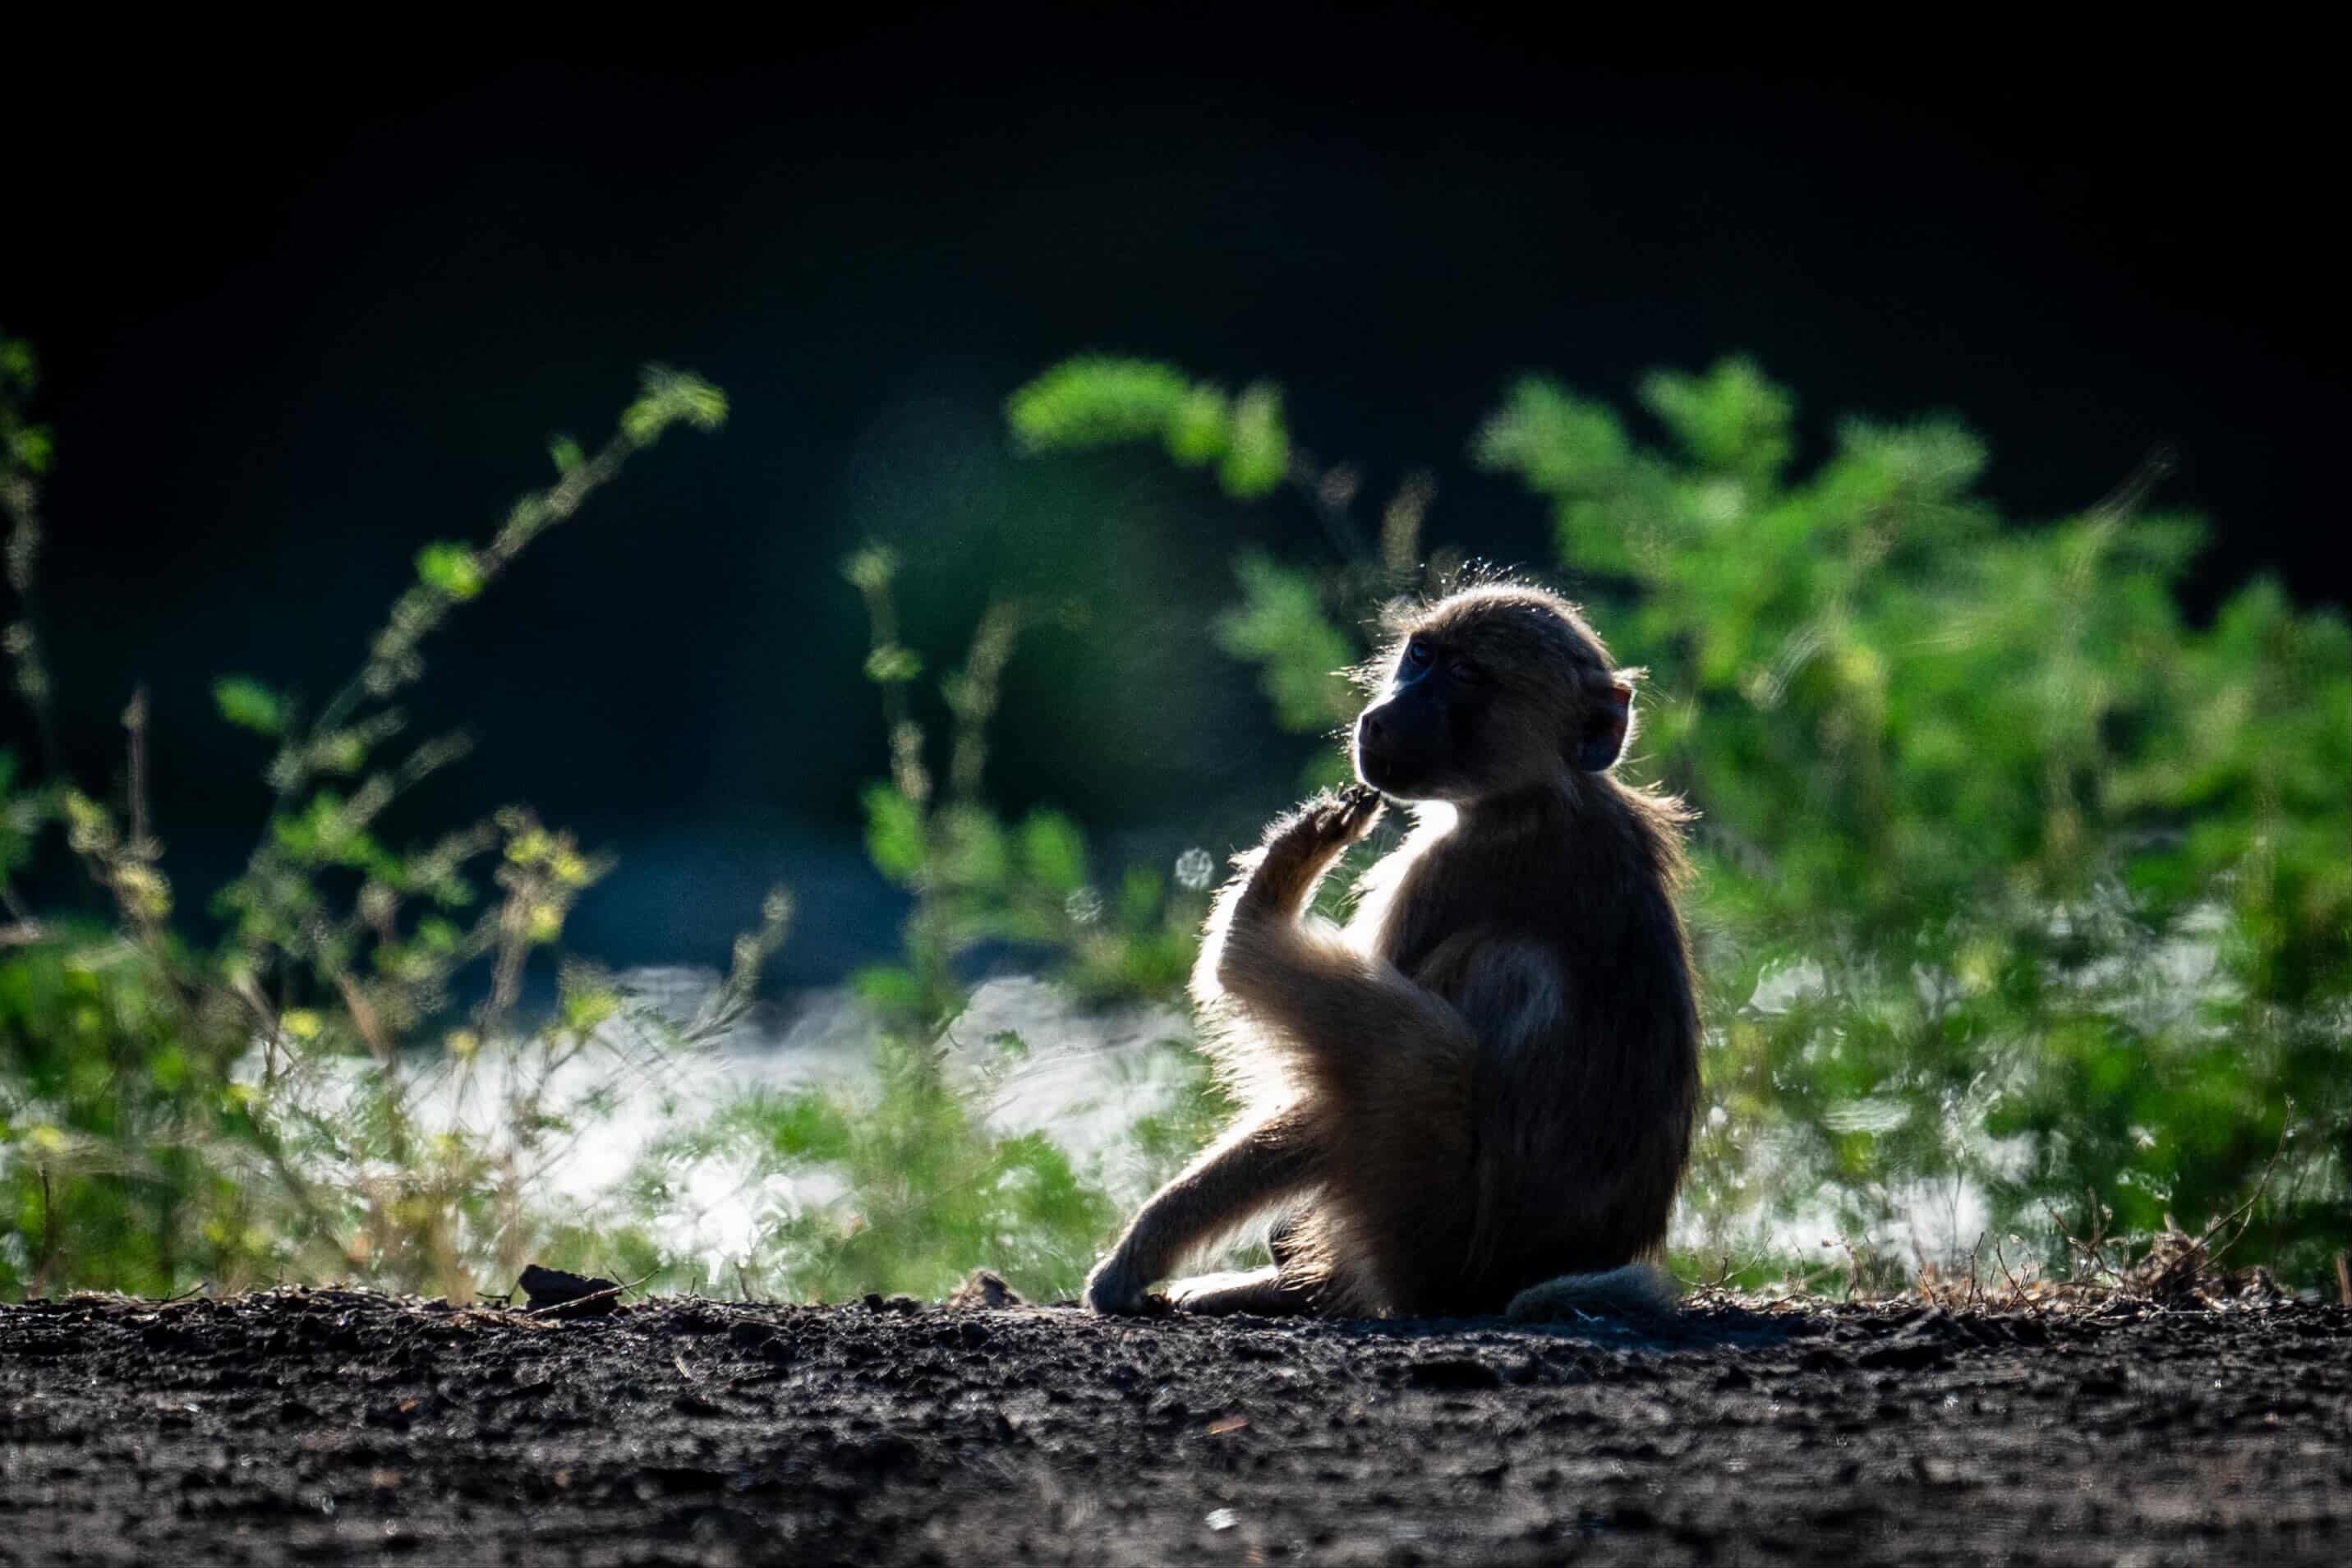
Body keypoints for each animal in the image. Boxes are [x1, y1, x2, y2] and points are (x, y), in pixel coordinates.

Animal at [1083, 581, 1699, 1321]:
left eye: (1467, 675)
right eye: (1421, 654)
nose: (1379, 720)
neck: (1544, 791)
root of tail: (1500, 1288)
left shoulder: (1437, 870)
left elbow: (1322, 1095)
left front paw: (1136, 1254)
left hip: (1423, 1233)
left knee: (1413, 1043)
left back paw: (1268, 898)